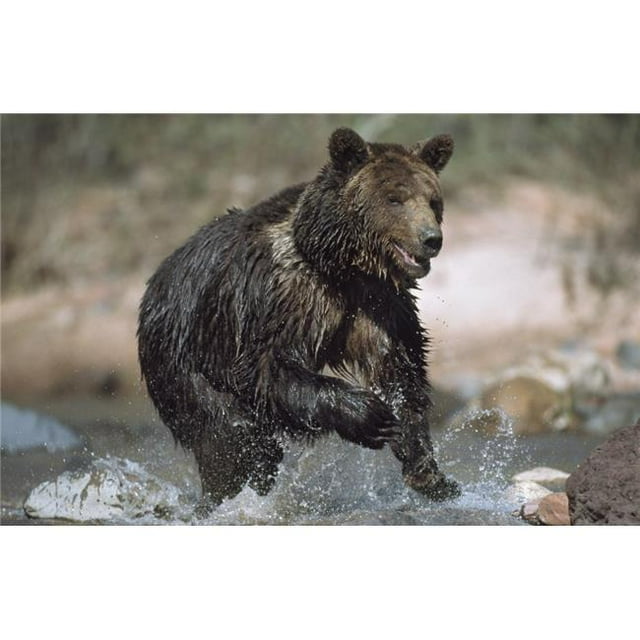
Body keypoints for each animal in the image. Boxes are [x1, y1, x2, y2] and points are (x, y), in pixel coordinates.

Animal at [137, 127, 461, 513]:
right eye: (395, 199)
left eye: (433, 200)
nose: (431, 239)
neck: (338, 263)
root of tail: (154, 282)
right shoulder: (285, 296)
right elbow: (267, 367)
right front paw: (369, 415)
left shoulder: (380, 303)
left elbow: (400, 368)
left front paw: (429, 471)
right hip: (184, 360)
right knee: (231, 437)